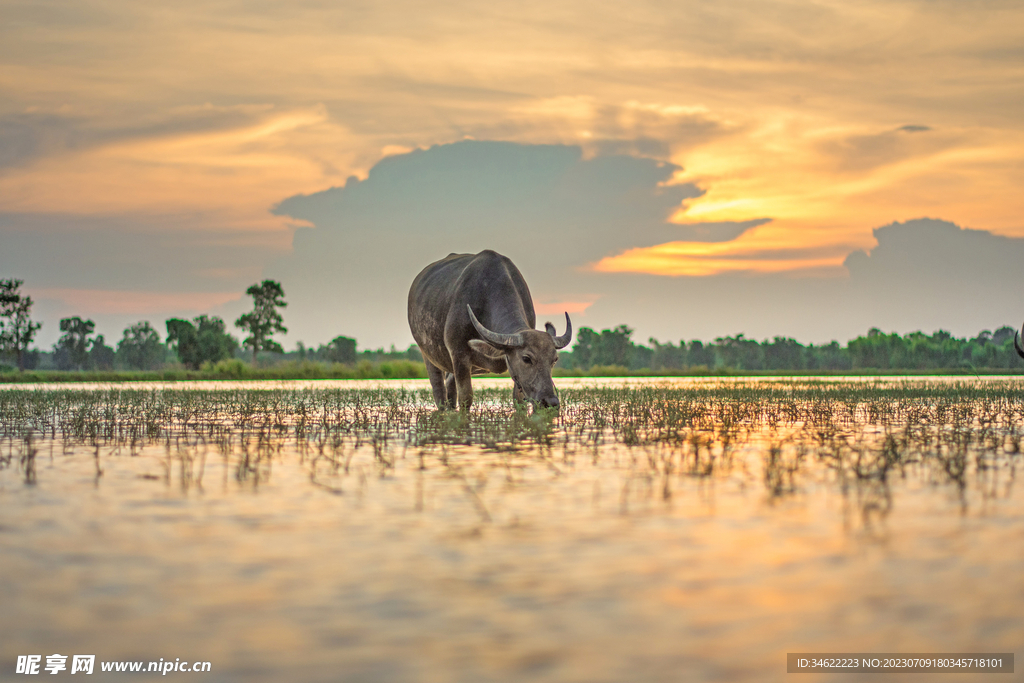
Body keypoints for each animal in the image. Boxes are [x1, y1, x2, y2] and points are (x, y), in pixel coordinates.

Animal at [407, 250, 573, 411]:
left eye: (554, 359)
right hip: (428, 356)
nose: (550, 402)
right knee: (439, 392)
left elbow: (519, 401)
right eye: (526, 358)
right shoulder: (459, 354)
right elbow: (466, 398)